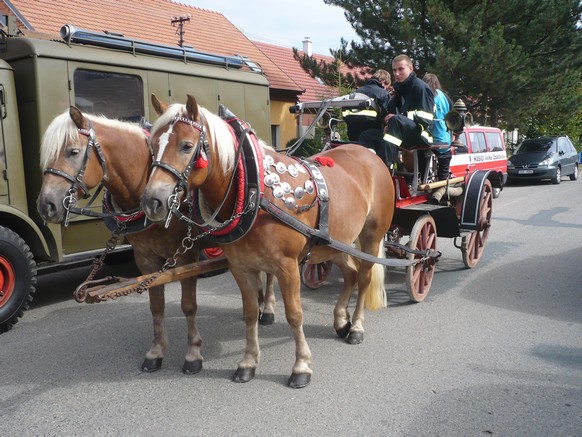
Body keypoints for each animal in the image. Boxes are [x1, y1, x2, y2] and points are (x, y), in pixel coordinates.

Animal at [36, 107, 278, 372]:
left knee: (269, 273)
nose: (46, 205)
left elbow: (188, 305)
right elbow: (156, 304)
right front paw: (156, 351)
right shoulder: (146, 258)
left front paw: (193, 354)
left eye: (73, 152)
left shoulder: (185, 256)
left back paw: (267, 308)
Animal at [141, 93, 396, 386]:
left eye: (186, 146)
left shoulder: (287, 267)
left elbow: (294, 315)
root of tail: (369, 155)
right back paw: (341, 321)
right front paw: (248, 362)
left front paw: (301, 366)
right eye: (152, 145)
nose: (152, 201)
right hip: (334, 243)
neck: (253, 191)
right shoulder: (241, 267)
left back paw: (356, 327)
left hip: (371, 236)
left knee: (364, 278)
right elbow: (250, 312)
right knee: (351, 274)